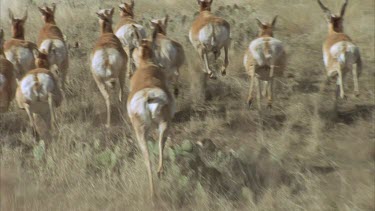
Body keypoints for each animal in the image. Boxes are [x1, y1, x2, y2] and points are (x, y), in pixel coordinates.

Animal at [128, 35, 176, 196]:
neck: (146, 66)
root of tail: (148, 96)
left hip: (143, 132)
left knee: (149, 158)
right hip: (161, 125)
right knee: (159, 145)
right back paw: (159, 175)